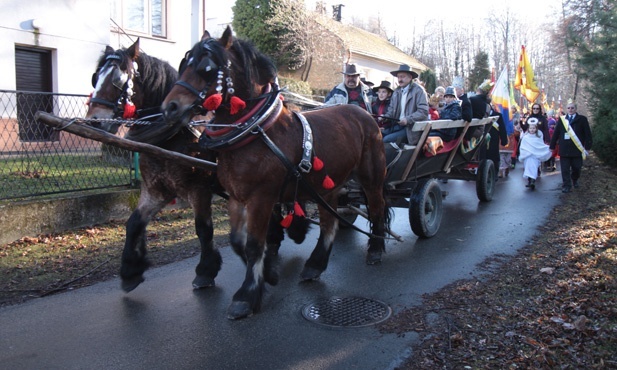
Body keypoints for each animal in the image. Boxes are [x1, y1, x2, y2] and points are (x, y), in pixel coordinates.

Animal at [84, 38, 224, 292]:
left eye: (118, 79)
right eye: (95, 77)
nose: (93, 121)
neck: (172, 132)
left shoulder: (199, 189)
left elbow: (203, 228)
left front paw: (206, 270)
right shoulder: (156, 189)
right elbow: (134, 223)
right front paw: (131, 270)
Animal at [160, 27, 390, 320]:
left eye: (208, 69)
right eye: (184, 64)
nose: (170, 107)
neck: (254, 131)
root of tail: (364, 114)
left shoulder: (261, 197)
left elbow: (254, 244)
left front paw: (246, 296)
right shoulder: (237, 197)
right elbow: (238, 241)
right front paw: (268, 274)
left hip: (372, 178)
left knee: (376, 208)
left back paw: (376, 249)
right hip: (328, 186)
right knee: (330, 224)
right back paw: (315, 265)